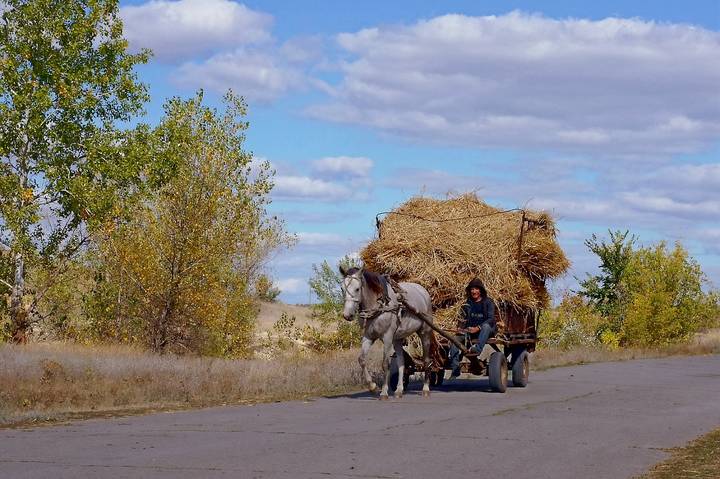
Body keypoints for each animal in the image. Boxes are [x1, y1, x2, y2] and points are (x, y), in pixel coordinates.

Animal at [342, 268, 436, 400]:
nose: (347, 315)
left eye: (357, 289)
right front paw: (373, 387)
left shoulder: (387, 337)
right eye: (342, 289)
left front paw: (383, 392)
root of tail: (422, 290)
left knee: (427, 360)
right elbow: (361, 360)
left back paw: (426, 388)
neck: (379, 306)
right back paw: (399, 390)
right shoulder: (368, 337)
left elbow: (385, 364)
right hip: (398, 338)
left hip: (425, 332)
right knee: (402, 362)